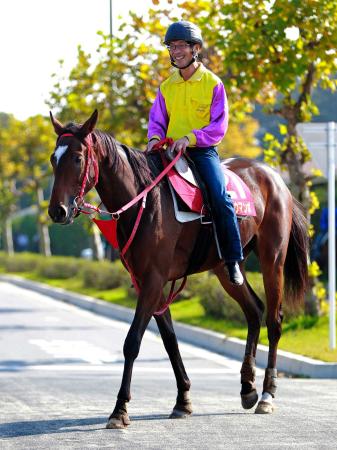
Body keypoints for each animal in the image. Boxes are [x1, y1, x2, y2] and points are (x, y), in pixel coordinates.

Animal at [47, 109, 308, 428]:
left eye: (77, 158)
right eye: (53, 158)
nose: (57, 211)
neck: (145, 202)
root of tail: (275, 179)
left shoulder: (153, 280)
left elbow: (132, 342)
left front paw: (120, 409)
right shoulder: (148, 282)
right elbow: (170, 341)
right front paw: (183, 400)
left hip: (273, 259)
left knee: (274, 319)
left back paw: (268, 394)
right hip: (225, 267)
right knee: (253, 310)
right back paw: (248, 387)